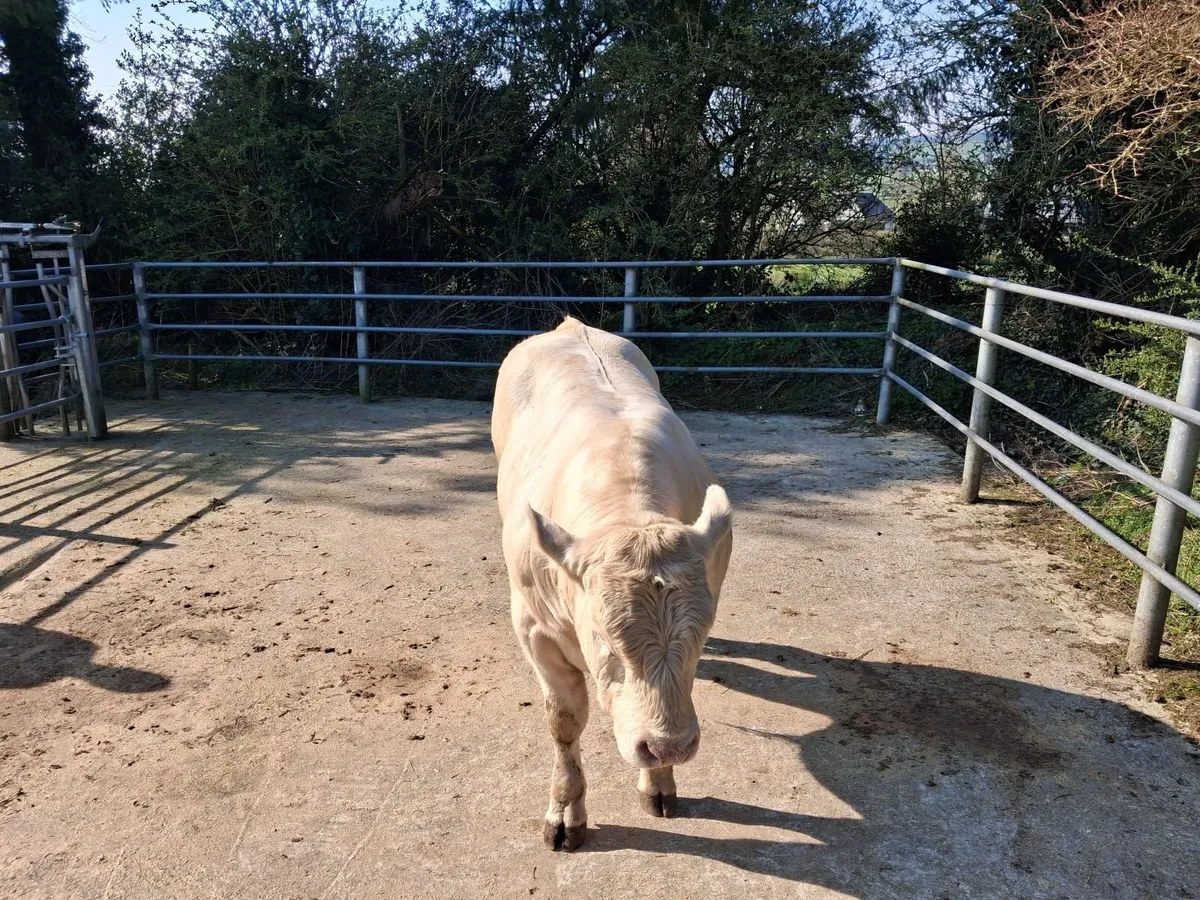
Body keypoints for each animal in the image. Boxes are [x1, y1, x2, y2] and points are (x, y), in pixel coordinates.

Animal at [491, 316, 733, 852]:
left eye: (704, 633)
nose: (669, 744)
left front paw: (660, 781)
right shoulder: (532, 629)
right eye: (604, 636)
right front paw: (565, 811)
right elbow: (564, 722)